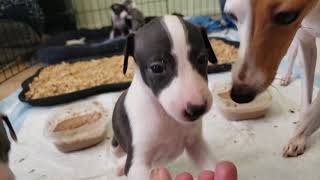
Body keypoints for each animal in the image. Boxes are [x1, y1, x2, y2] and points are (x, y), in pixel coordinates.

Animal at [111, 15, 219, 180]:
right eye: (157, 68)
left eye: (202, 59)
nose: (197, 109)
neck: (166, 115)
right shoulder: (137, 163)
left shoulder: (196, 143)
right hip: (115, 145)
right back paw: (119, 165)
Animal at [225, 0, 320, 158]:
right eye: (231, 15)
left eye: (287, 16)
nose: (239, 96)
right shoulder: (306, 39)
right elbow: (306, 102)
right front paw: (300, 137)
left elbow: (314, 109)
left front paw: (298, 137)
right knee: (293, 51)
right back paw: (286, 77)